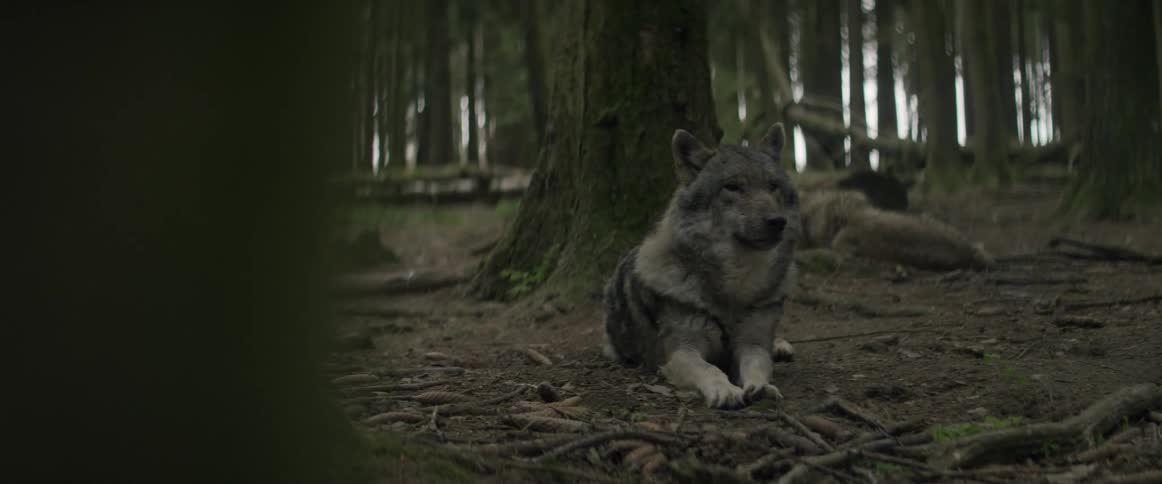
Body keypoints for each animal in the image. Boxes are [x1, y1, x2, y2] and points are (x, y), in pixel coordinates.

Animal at [603, 123, 800, 409]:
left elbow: (757, 363)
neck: (734, 289)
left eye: (773, 186)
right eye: (732, 187)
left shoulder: (751, 343)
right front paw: (725, 390)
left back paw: (781, 346)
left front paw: (762, 387)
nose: (777, 221)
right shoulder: (681, 352)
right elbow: (710, 368)